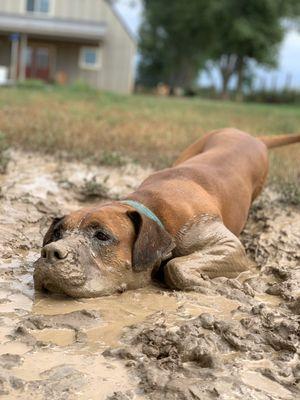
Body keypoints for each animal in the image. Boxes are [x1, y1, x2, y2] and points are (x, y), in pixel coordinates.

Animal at [33, 128, 300, 296]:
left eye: (102, 236)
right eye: (57, 234)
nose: (49, 252)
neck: (153, 211)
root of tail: (253, 137)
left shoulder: (230, 246)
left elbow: (175, 266)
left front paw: (210, 285)